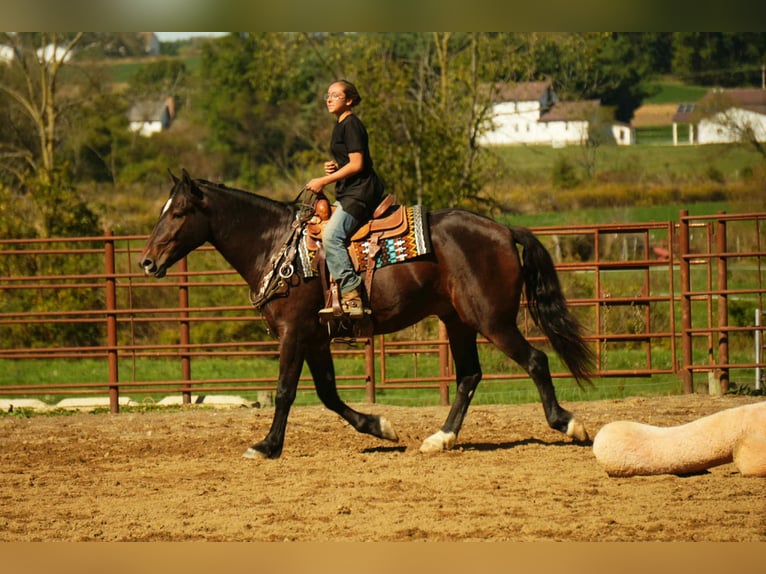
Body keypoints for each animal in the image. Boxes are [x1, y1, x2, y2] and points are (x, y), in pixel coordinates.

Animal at [139, 169, 595, 459]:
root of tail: (502, 230)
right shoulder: (316, 336)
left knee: (535, 361)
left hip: (492, 321)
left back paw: (570, 425)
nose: (146, 262)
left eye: (178, 213)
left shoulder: (293, 332)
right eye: (162, 210)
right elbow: (328, 394)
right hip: (458, 322)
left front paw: (267, 446)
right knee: (469, 376)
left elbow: (286, 391)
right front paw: (380, 427)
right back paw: (441, 438)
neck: (277, 247)